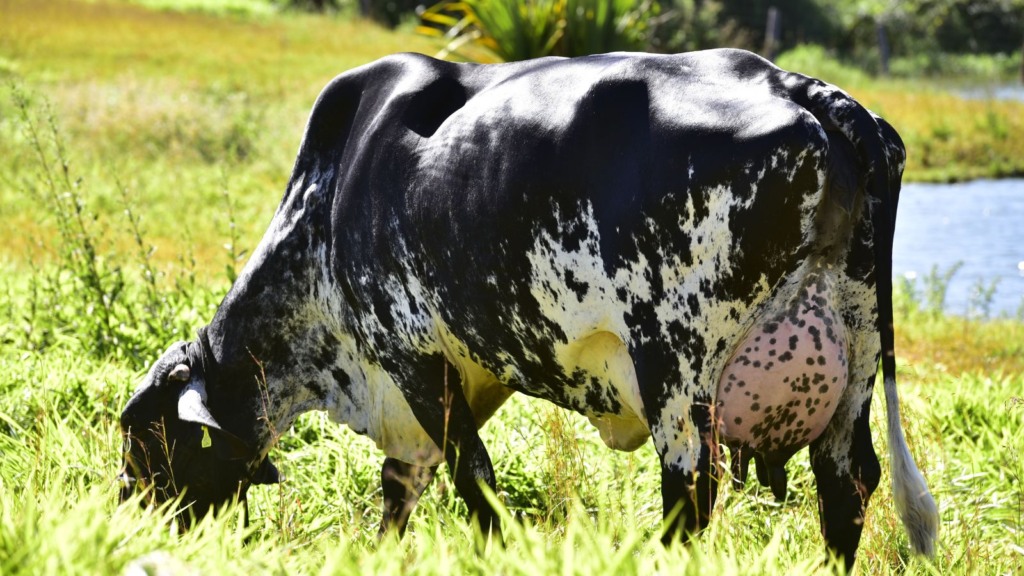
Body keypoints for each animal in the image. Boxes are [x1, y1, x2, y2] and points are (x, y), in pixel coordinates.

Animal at [117, 48, 937, 565]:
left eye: (144, 438)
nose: (120, 515)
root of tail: (791, 83)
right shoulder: (457, 376)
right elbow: (401, 489)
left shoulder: (413, 354)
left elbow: (472, 483)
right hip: (853, 354)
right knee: (846, 484)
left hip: (676, 365)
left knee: (692, 491)